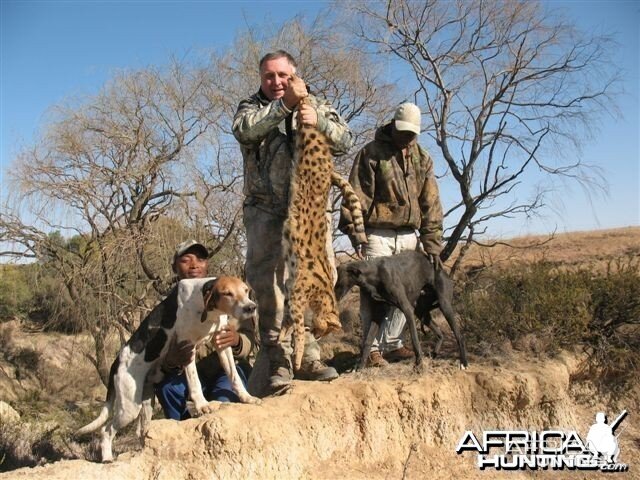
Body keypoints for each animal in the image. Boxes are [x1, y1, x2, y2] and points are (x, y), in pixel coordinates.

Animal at [77, 276, 260, 464]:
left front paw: (247, 397)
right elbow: (194, 382)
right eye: (227, 293)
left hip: (146, 402)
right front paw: (202, 405)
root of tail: (115, 363)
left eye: (246, 290)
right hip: (129, 408)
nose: (251, 307)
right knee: (106, 430)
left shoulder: (222, 341)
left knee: (140, 431)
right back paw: (107, 458)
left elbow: (234, 376)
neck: (207, 309)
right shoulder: (187, 347)